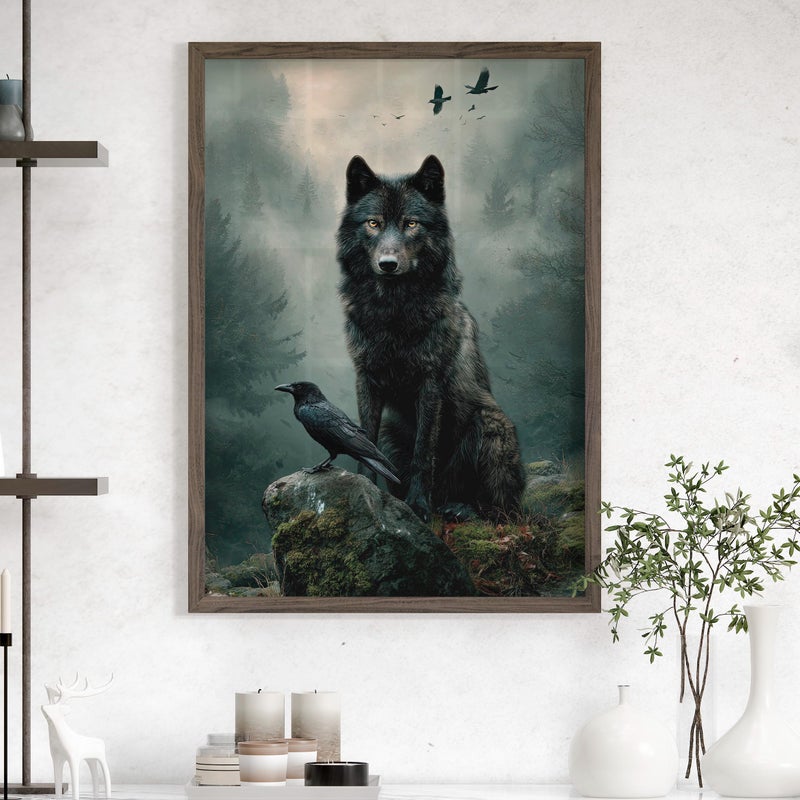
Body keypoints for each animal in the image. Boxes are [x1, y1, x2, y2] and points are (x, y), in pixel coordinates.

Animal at [336, 154, 525, 522]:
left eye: (411, 224)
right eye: (374, 223)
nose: (388, 264)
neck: (393, 311)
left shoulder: (430, 382)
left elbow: (424, 451)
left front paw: (418, 505)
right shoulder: (366, 378)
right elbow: (365, 443)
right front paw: (365, 489)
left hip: (490, 423)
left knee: (503, 511)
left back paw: (456, 508)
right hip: (392, 433)